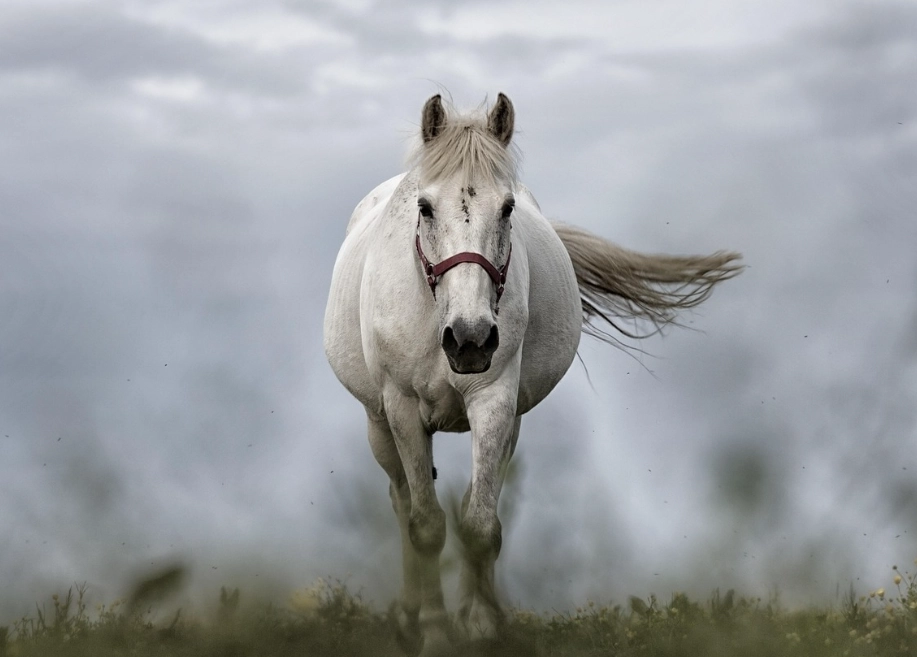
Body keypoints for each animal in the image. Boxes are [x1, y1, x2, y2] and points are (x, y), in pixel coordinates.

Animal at [323, 93, 742, 655]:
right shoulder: (403, 409)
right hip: (378, 423)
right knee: (401, 501)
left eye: (507, 208)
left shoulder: (495, 401)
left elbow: (480, 525)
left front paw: (481, 627)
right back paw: (410, 618)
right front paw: (433, 634)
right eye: (425, 207)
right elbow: (426, 526)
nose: (471, 339)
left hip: (509, 423)